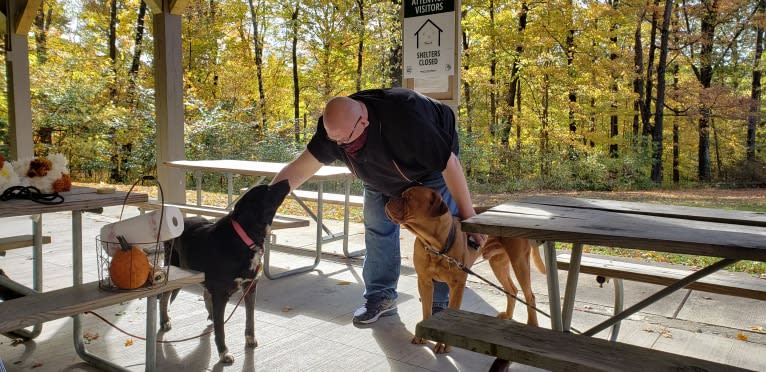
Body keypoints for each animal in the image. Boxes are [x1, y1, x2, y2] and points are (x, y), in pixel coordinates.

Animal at [161, 180, 292, 364]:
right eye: (267, 189)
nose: (286, 180)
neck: (244, 238)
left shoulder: (250, 288)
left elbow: (250, 319)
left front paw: (250, 338)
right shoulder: (221, 294)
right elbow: (221, 329)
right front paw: (224, 352)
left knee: (205, 294)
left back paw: (210, 315)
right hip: (175, 270)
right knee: (164, 298)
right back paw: (165, 321)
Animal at [390, 187, 544, 354]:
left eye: (409, 197)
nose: (389, 198)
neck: (435, 246)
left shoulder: (457, 285)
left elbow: (451, 310)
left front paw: (443, 343)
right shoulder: (424, 281)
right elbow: (426, 309)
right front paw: (421, 336)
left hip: (519, 261)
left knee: (529, 296)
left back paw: (532, 325)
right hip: (498, 263)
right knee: (512, 289)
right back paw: (508, 315)